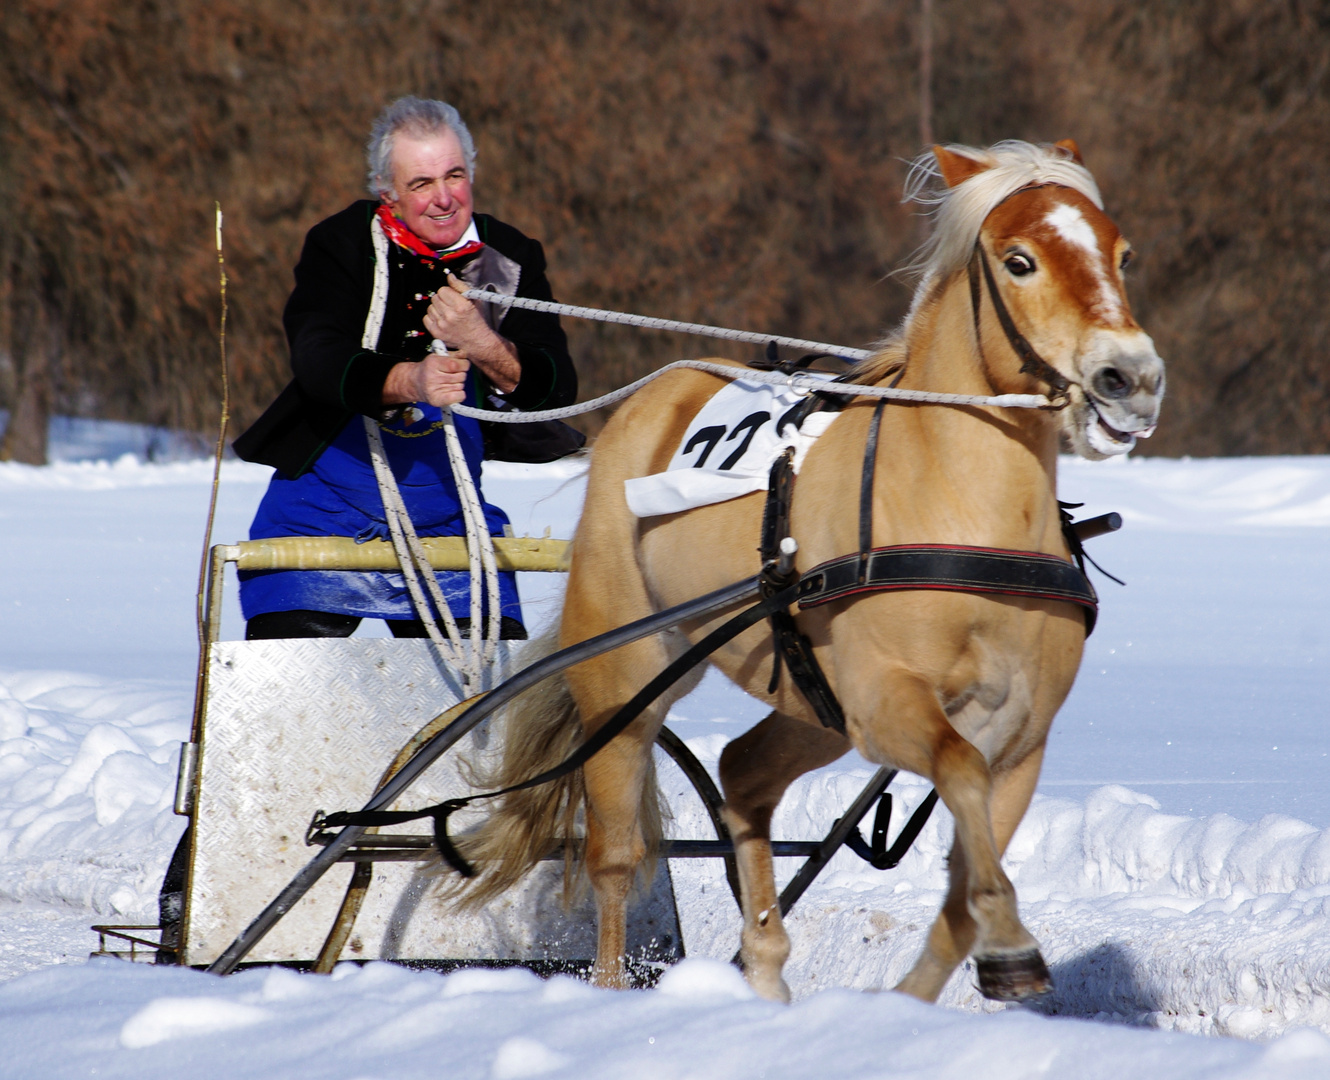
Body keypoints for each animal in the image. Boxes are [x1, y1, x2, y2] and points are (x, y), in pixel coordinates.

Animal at [454, 141, 1165, 1005]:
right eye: (1020, 260)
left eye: (1122, 254)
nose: (1131, 378)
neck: (962, 512)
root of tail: (651, 400)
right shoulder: (886, 702)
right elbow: (959, 781)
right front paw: (1008, 943)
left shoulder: (1023, 736)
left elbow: (964, 880)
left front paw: (941, 981)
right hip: (627, 676)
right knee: (615, 857)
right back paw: (614, 983)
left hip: (808, 706)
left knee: (743, 774)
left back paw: (764, 967)